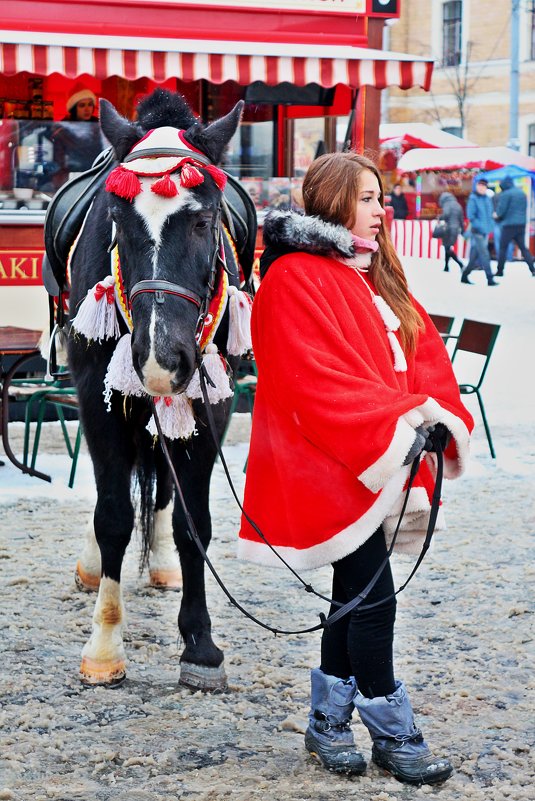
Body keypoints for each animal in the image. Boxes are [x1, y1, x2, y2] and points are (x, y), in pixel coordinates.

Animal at [65, 87, 253, 688]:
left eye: (203, 221)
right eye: (117, 218)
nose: (159, 358)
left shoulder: (212, 404)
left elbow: (196, 523)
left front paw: (200, 644)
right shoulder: (96, 401)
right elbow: (113, 518)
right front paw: (104, 646)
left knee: (166, 492)